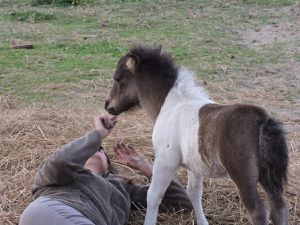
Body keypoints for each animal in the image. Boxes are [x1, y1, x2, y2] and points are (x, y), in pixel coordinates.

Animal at [105, 45, 288, 225]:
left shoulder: (165, 161)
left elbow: (154, 196)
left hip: (244, 178)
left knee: (258, 212)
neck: (171, 104)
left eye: (117, 78)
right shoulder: (194, 166)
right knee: (278, 209)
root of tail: (263, 121)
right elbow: (193, 194)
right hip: (269, 178)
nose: (107, 105)